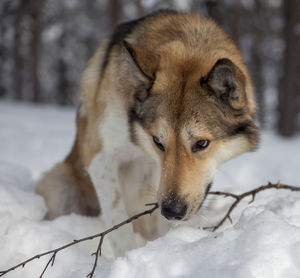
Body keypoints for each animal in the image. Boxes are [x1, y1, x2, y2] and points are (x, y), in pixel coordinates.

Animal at [37, 10, 258, 256]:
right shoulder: (100, 154)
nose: (172, 211)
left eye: (201, 144)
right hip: (59, 185)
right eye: (158, 142)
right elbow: (118, 222)